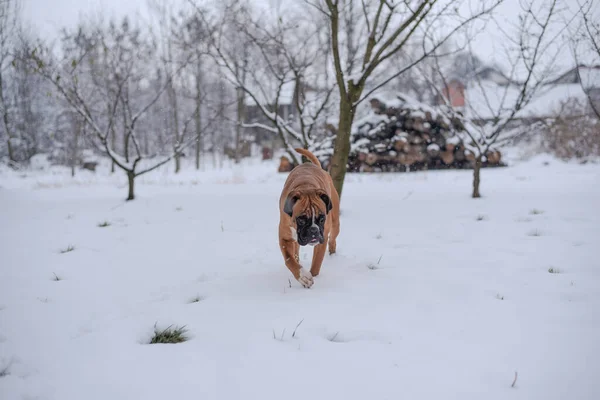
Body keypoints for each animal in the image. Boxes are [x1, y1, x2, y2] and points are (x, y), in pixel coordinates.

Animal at [278, 148, 340, 288]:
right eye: (301, 219)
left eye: (322, 219)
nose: (314, 230)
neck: (306, 187)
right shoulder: (284, 237)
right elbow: (289, 259)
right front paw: (303, 276)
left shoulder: (322, 240)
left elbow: (316, 263)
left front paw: (313, 276)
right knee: (295, 250)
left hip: (335, 224)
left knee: (333, 239)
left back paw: (332, 253)